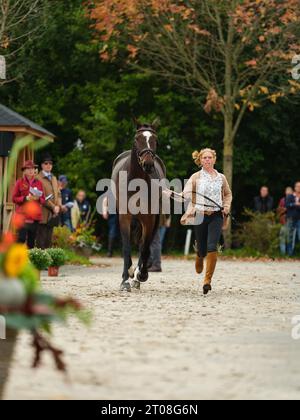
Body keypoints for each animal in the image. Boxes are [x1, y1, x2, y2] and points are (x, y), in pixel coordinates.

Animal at [111, 123, 166, 290]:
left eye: (155, 140)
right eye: (137, 139)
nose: (148, 164)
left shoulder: (149, 219)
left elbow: (145, 247)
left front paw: (141, 275)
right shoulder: (124, 217)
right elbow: (126, 246)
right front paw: (125, 279)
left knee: (144, 245)